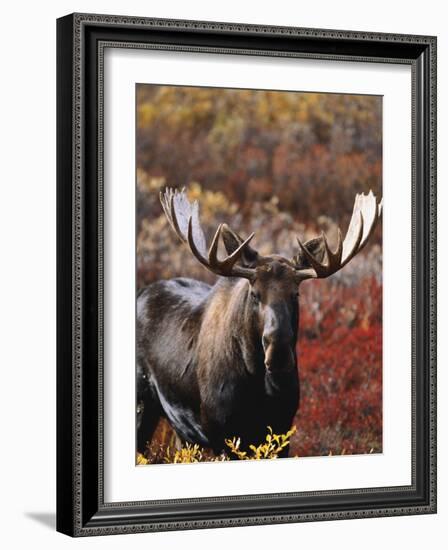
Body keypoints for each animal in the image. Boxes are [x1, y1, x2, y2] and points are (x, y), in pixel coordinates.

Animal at [136, 189, 382, 458]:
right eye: (255, 293)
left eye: (296, 293)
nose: (279, 352)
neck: (257, 385)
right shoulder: (221, 434)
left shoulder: (282, 429)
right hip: (143, 405)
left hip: (182, 431)